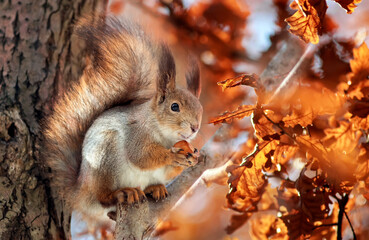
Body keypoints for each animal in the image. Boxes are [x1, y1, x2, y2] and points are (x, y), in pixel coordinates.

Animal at [43, 15, 204, 230]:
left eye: (200, 109)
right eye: (175, 106)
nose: (195, 127)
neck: (165, 135)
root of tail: (80, 192)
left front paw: (192, 158)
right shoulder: (136, 133)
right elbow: (141, 156)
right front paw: (172, 155)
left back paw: (154, 188)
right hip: (105, 156)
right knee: (103, 198)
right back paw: (122, 193)